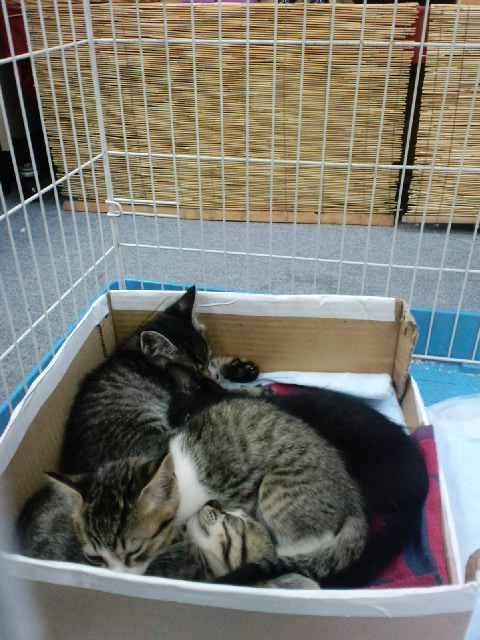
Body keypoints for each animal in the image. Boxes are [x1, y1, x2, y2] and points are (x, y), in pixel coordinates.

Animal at [60, 286, 260, 474]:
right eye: (194, 369)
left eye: (208, 358)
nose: (206, 377)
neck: (139, 357)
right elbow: (226, 392)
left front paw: (239, 369)